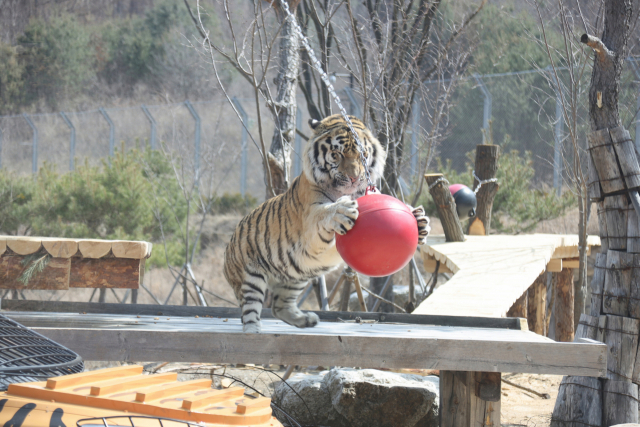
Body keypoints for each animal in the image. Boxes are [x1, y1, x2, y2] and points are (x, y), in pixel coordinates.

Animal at [224, 114, 430, 334]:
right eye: (336, 154)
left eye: (363, 155)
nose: (354, 178)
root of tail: (228, 246)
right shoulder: (310, 219)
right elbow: (324, 213)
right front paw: (341, 210)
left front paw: (419, 220)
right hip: (251, 278)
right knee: (250, 311)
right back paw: (253, 331)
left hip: (296, 277)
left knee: (279, 306)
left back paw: (306, 320)